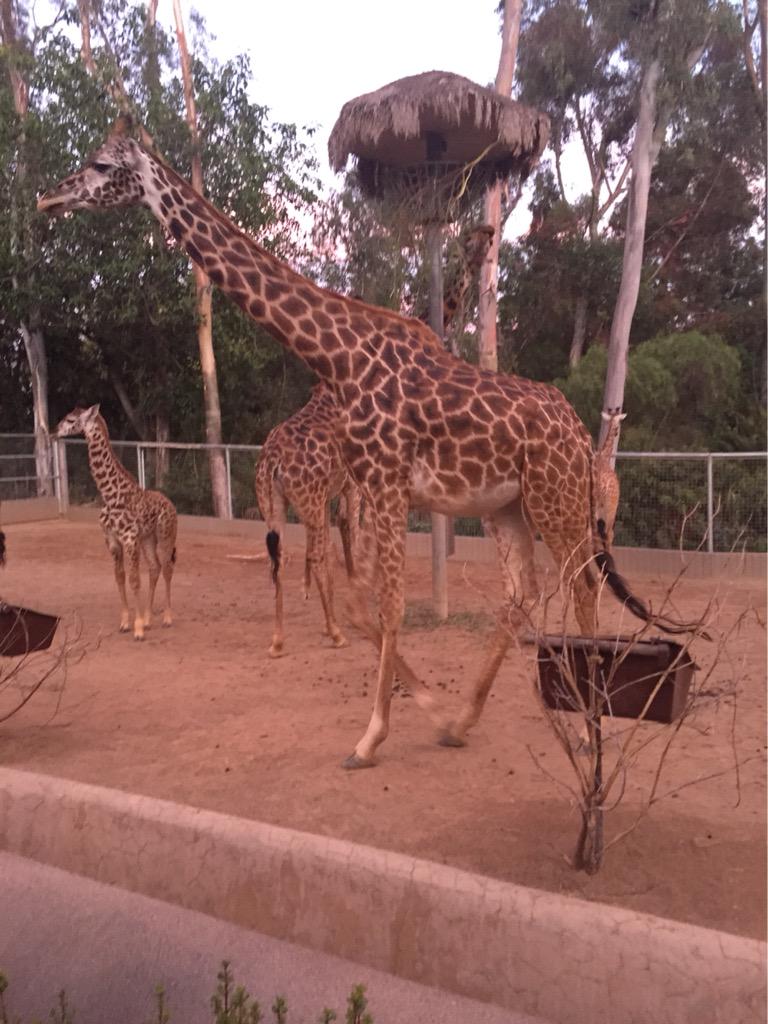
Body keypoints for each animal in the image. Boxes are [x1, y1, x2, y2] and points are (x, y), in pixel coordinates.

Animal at [54, 404, 177, 641]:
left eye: (71, 419)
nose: (54, 431)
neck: (110, 496)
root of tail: (172, 505)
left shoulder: (129, 539)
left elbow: (134, 580)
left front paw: (138, 630)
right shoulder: (112, 541)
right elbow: (120, 578)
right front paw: (126, 623)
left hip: (166, 536)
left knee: (167, 568)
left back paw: (167, 618)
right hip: (148, 539)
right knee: (155, 567)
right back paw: (149, 619)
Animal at [255, 382, 361, 658]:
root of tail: (272, 461)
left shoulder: (327, 496)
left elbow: (330, 547)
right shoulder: (352, 486)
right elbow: (350, 533)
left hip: (274, 506)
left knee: (280, 559)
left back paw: (278, 642)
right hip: (308, 500)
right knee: (312, 556)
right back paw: (337, 635)